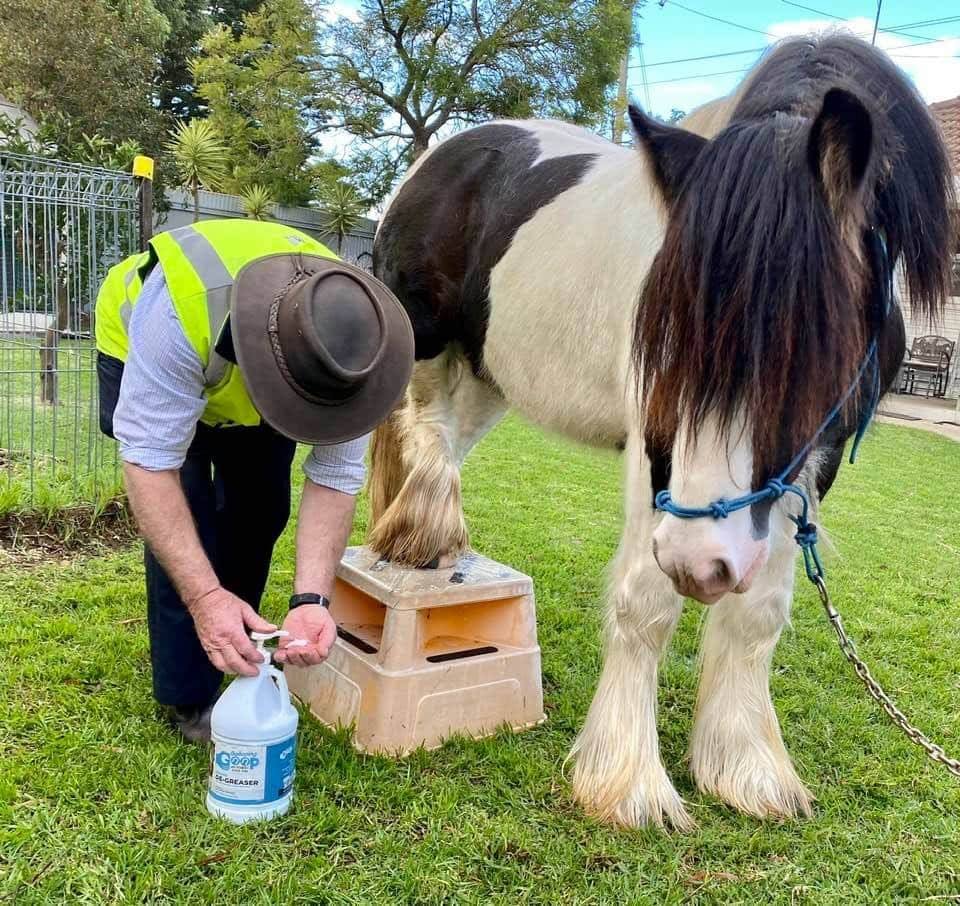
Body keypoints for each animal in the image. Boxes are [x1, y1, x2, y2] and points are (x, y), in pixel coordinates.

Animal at [364, 35, 948, 828]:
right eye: (665, 336)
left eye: (806, 346)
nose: (702, 565)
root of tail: (444, 152)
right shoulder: (654, 448)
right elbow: (645, 601)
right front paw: (629, 782)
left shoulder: (810, 461)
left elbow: (759, 612)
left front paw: (747, 769)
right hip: (424, 341)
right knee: (422, 427)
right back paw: (423, 536)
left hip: (490, 372)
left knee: (447, 436)